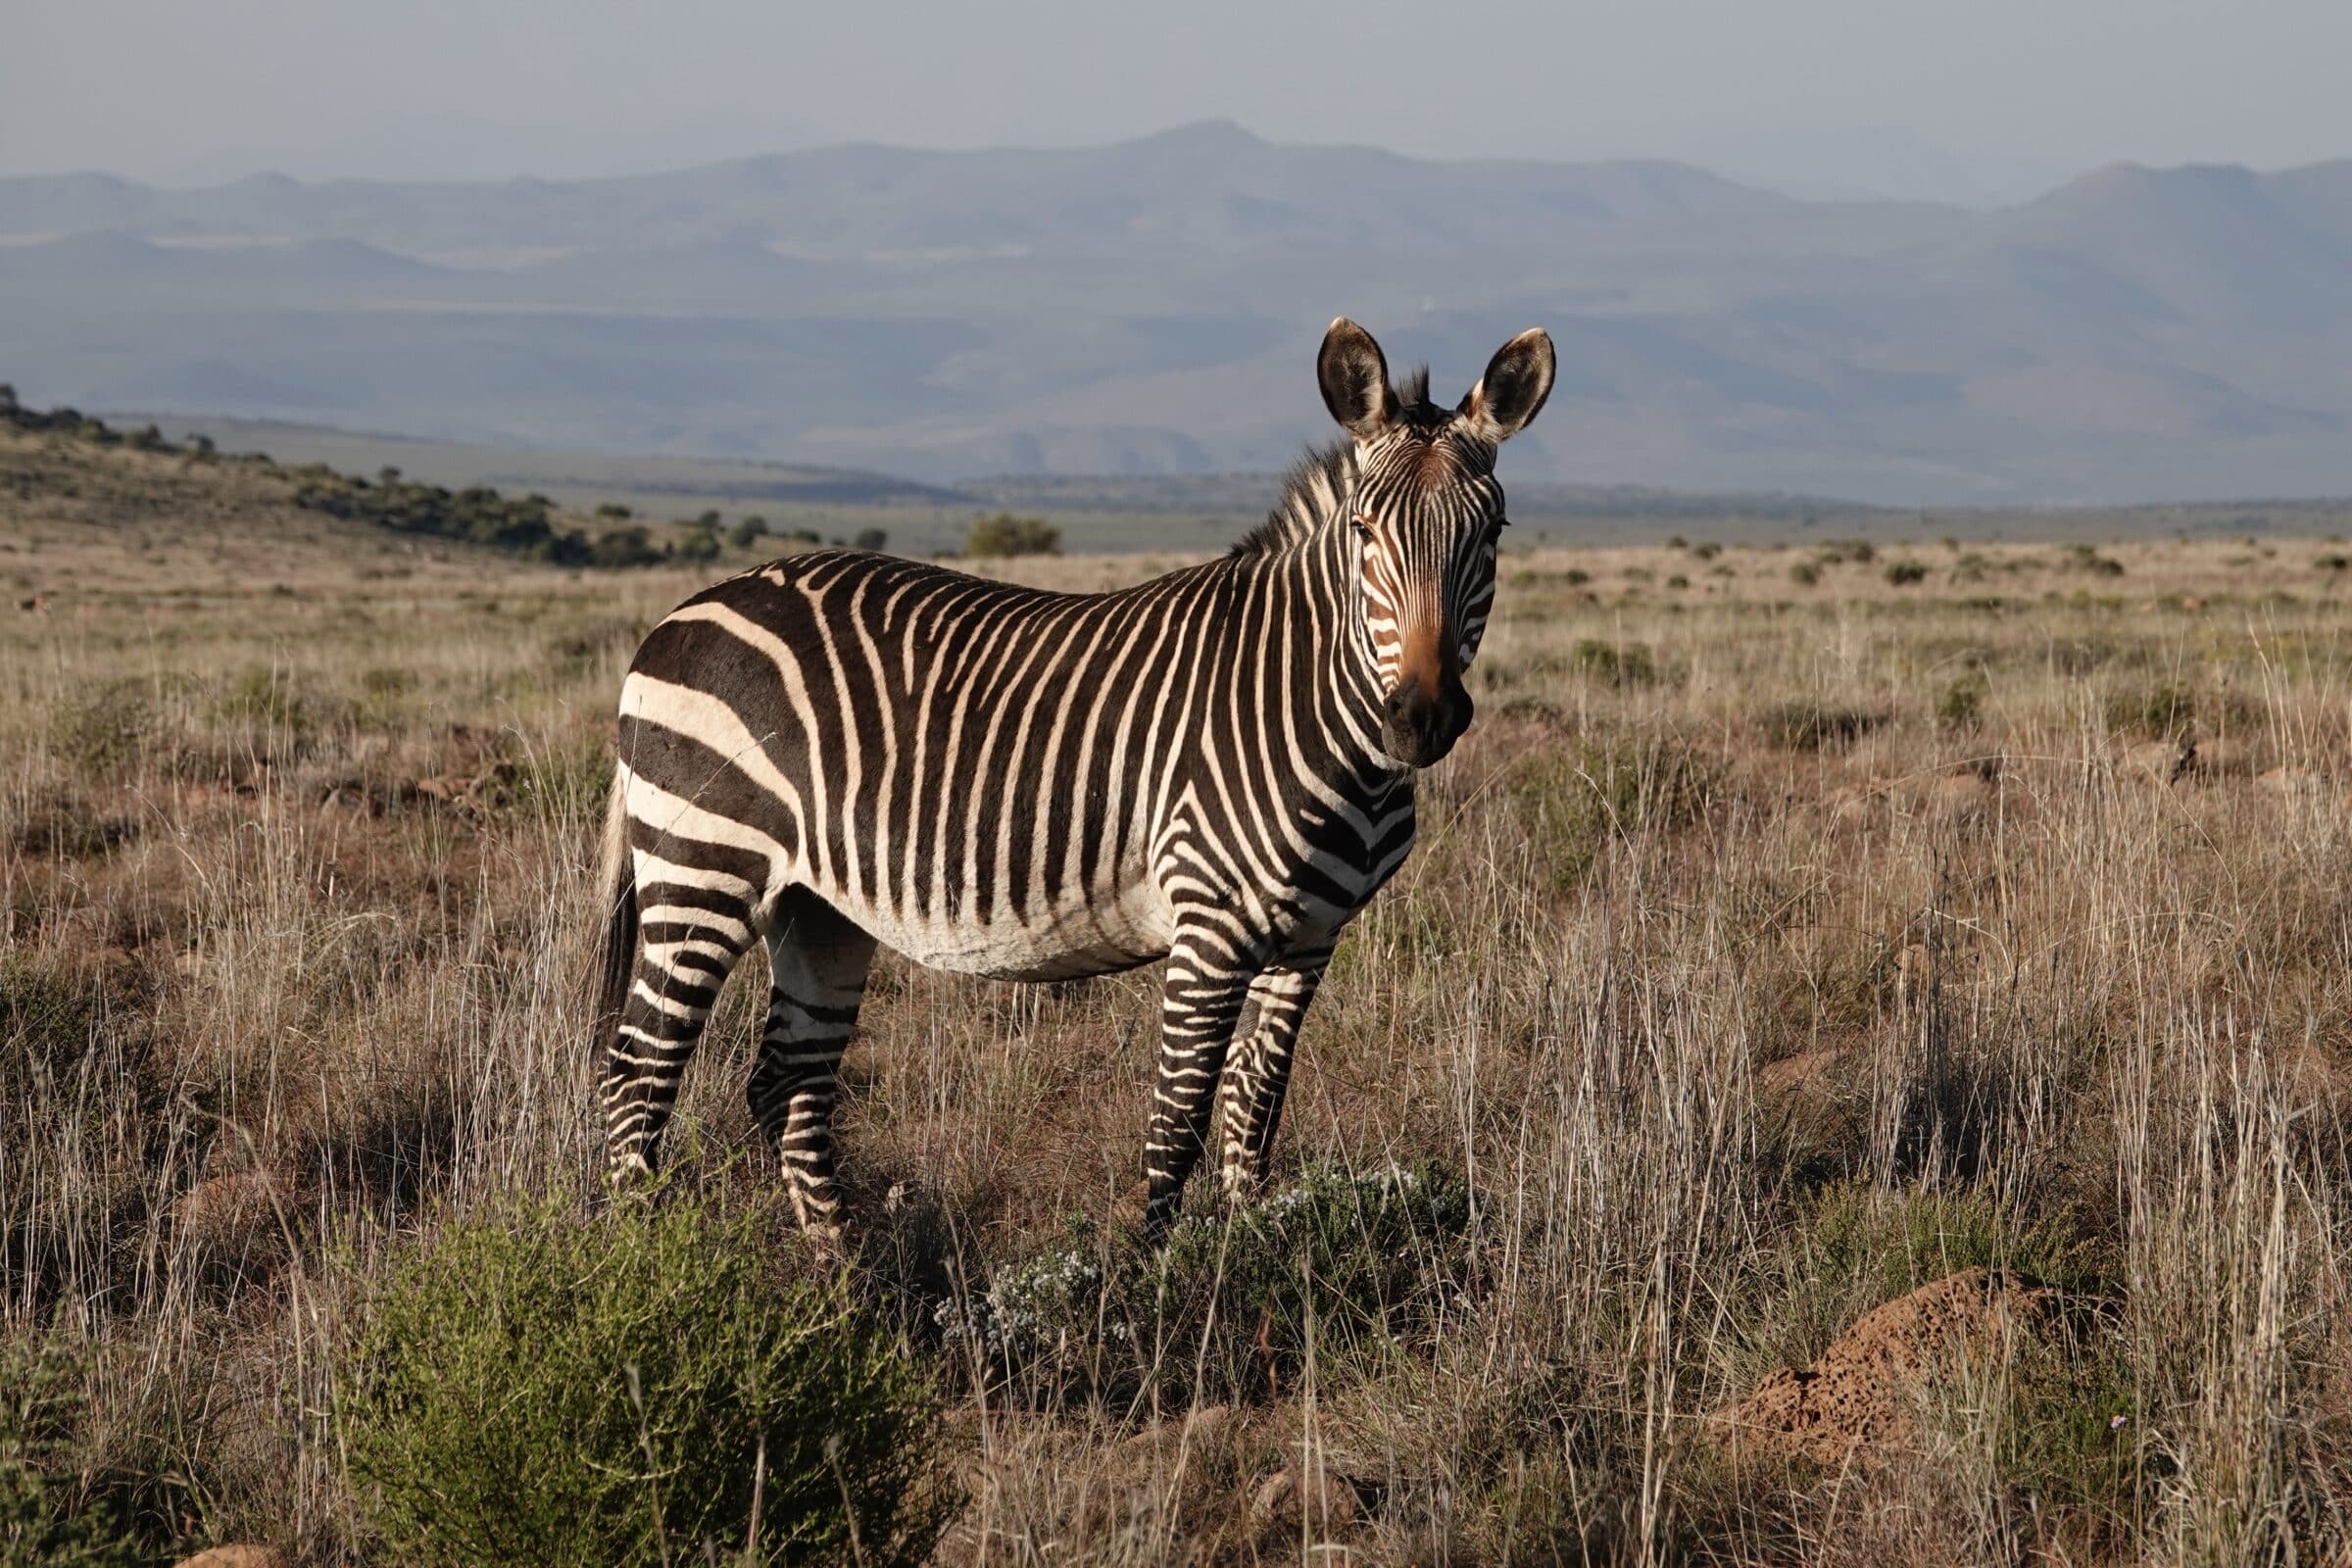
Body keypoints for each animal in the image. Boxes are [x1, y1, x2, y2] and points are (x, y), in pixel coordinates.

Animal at [597, 319, 1552, 1241]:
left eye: (1492, 533)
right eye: (1363, 531)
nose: (1421, 717)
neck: (1319, 716)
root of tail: (680, 615)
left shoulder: (1311, 940)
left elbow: (1254, 1118)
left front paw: (1269, 1266)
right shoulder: (1210, 929)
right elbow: (1177, 1129)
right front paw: (1151, 1284)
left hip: (815, 906)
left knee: (785, 1084)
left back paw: (840, 1274)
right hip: (702, 866)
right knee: (636, 1076)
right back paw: (643, 1258)